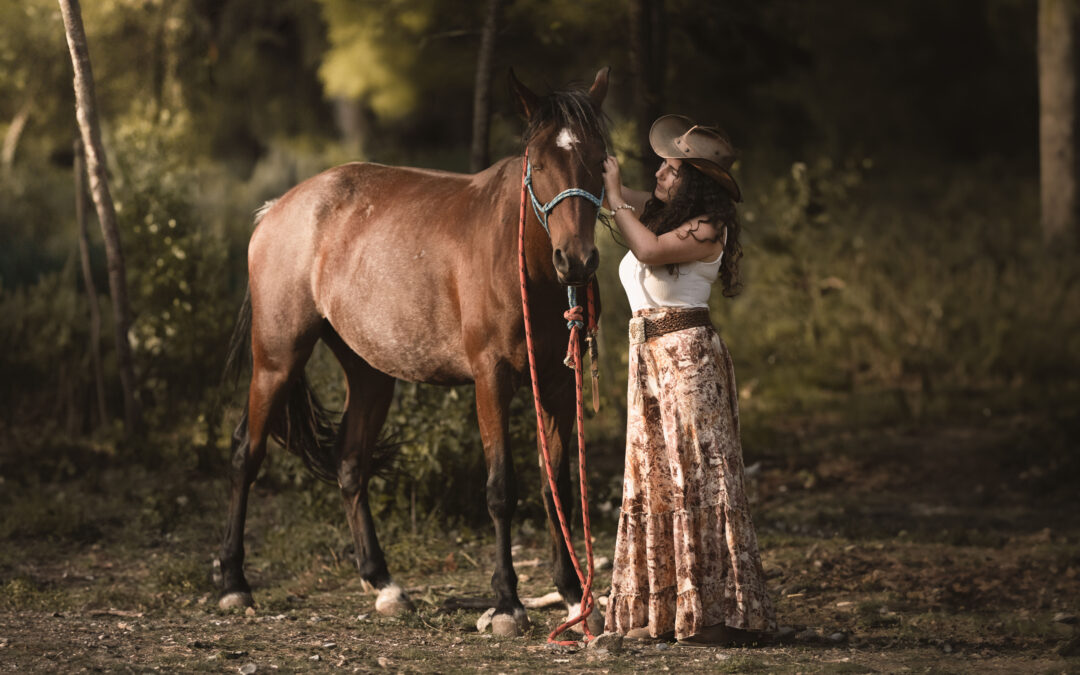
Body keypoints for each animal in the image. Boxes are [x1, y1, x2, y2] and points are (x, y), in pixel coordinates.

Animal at [217, 68, 611, 637]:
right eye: (537, 164)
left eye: (599, 159)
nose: (575, 261)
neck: (526, 266)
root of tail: (277, 210)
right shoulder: (491, 380)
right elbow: (502, 488)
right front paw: (507, 604)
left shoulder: (558, 387)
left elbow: (554, 484)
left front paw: (575, 598)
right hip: (276, 358)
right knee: (245, 453)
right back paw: (233, 583)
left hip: (370, 373)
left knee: (350, 463)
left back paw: (384, 584)